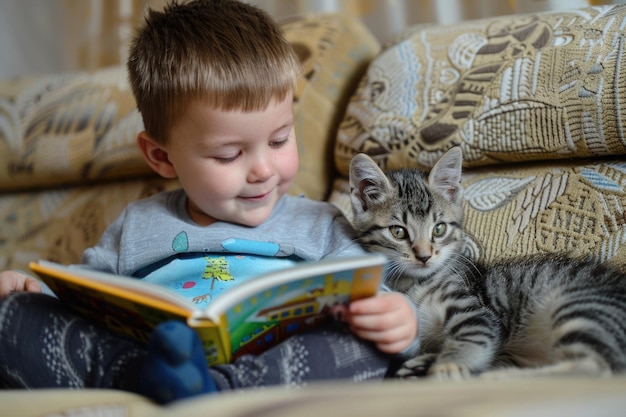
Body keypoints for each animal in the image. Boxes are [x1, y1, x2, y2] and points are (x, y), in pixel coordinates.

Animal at [348, 148, 620, 378]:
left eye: (439, 229)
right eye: (398, 232)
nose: (424, 256)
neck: (414, 283)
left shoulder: (475, 311)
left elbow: (471, 339)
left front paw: (447, 367)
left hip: (578, 303)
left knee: (594, 368)